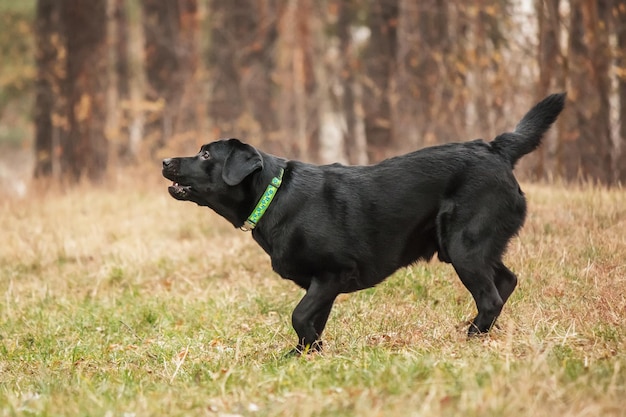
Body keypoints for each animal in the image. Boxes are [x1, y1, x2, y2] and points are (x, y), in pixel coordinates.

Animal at [161, 93, 564, 352]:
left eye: (205, 154)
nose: (165, 160)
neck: (273, 195)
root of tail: (496, 148)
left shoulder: (333, 273)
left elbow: (299, 315)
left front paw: (309, 350)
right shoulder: (321, 284)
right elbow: (312, 321)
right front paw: (306, 355)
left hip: (464, 245)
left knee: (491, 296)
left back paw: (470, 338)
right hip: (470, 246)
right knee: (506, 281)